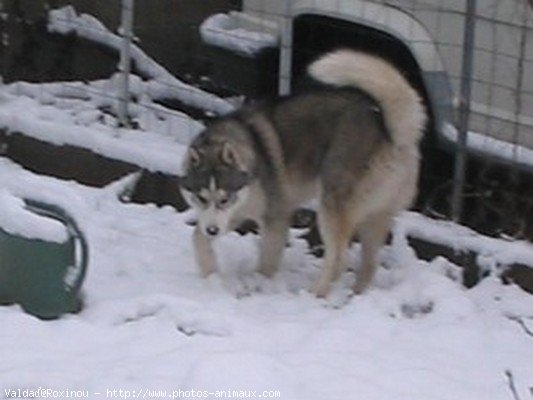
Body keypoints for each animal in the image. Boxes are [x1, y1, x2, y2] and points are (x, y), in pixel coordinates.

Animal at [179, 49, 424, 296]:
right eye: (201, 198)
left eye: (224, 198)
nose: (212, 230)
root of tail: (394, 135)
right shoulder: (231, 215)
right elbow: (197, 237)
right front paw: (209, 273)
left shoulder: (275, 217)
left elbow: (266, 262)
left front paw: (260, 285)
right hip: (374, 217)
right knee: (369, 264)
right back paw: (354, 295)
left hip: (331, 207)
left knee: (339, 259)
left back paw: (317, 293)